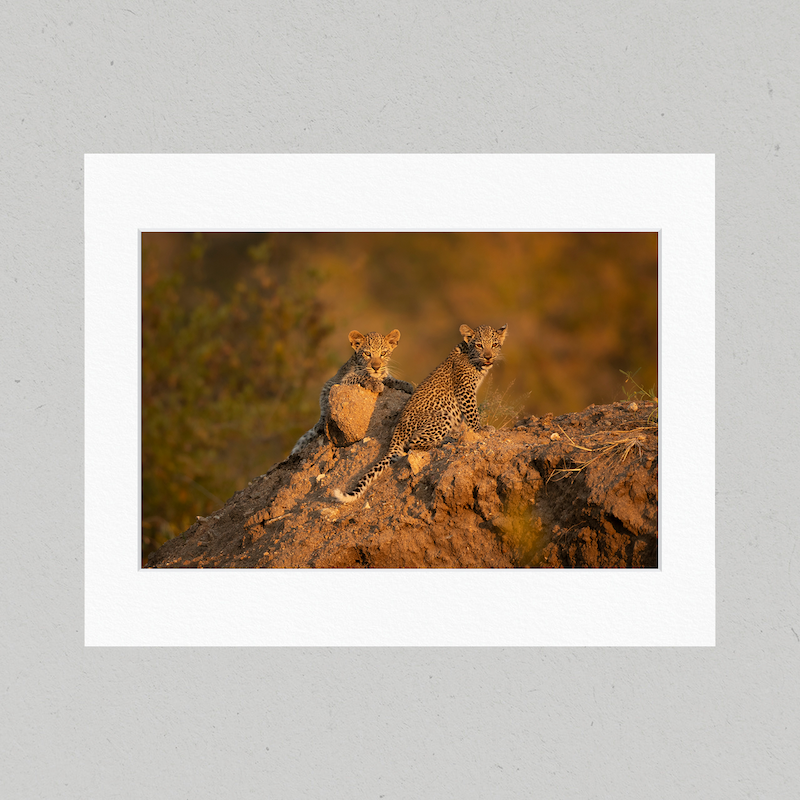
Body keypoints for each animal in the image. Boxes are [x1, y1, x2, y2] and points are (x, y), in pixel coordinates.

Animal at [332, 323, 508, 503]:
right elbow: (472, 414)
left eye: (494, 345)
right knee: (413, 445)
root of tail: (396, 435)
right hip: (441, 416)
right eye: (479, 345)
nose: (488, 357)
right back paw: (446, 440)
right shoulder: (464, 390)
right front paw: (480, 430)